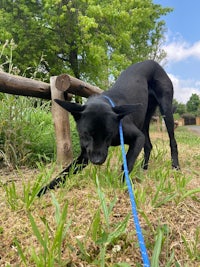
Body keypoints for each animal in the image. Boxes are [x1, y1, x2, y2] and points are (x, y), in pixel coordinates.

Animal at [37, 59, 180, 197]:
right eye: (86, 135)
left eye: (108, 134)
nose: (97, 161)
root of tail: (153, 62)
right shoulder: (85, 155)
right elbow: (65, 172)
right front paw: (43, 190)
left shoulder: (137, 137)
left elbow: (127, 162)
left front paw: (123, 186)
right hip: (144, 118)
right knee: (148, 145)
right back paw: (144, 169)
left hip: (166, 109)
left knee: (172, 141)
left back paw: (176, 166)